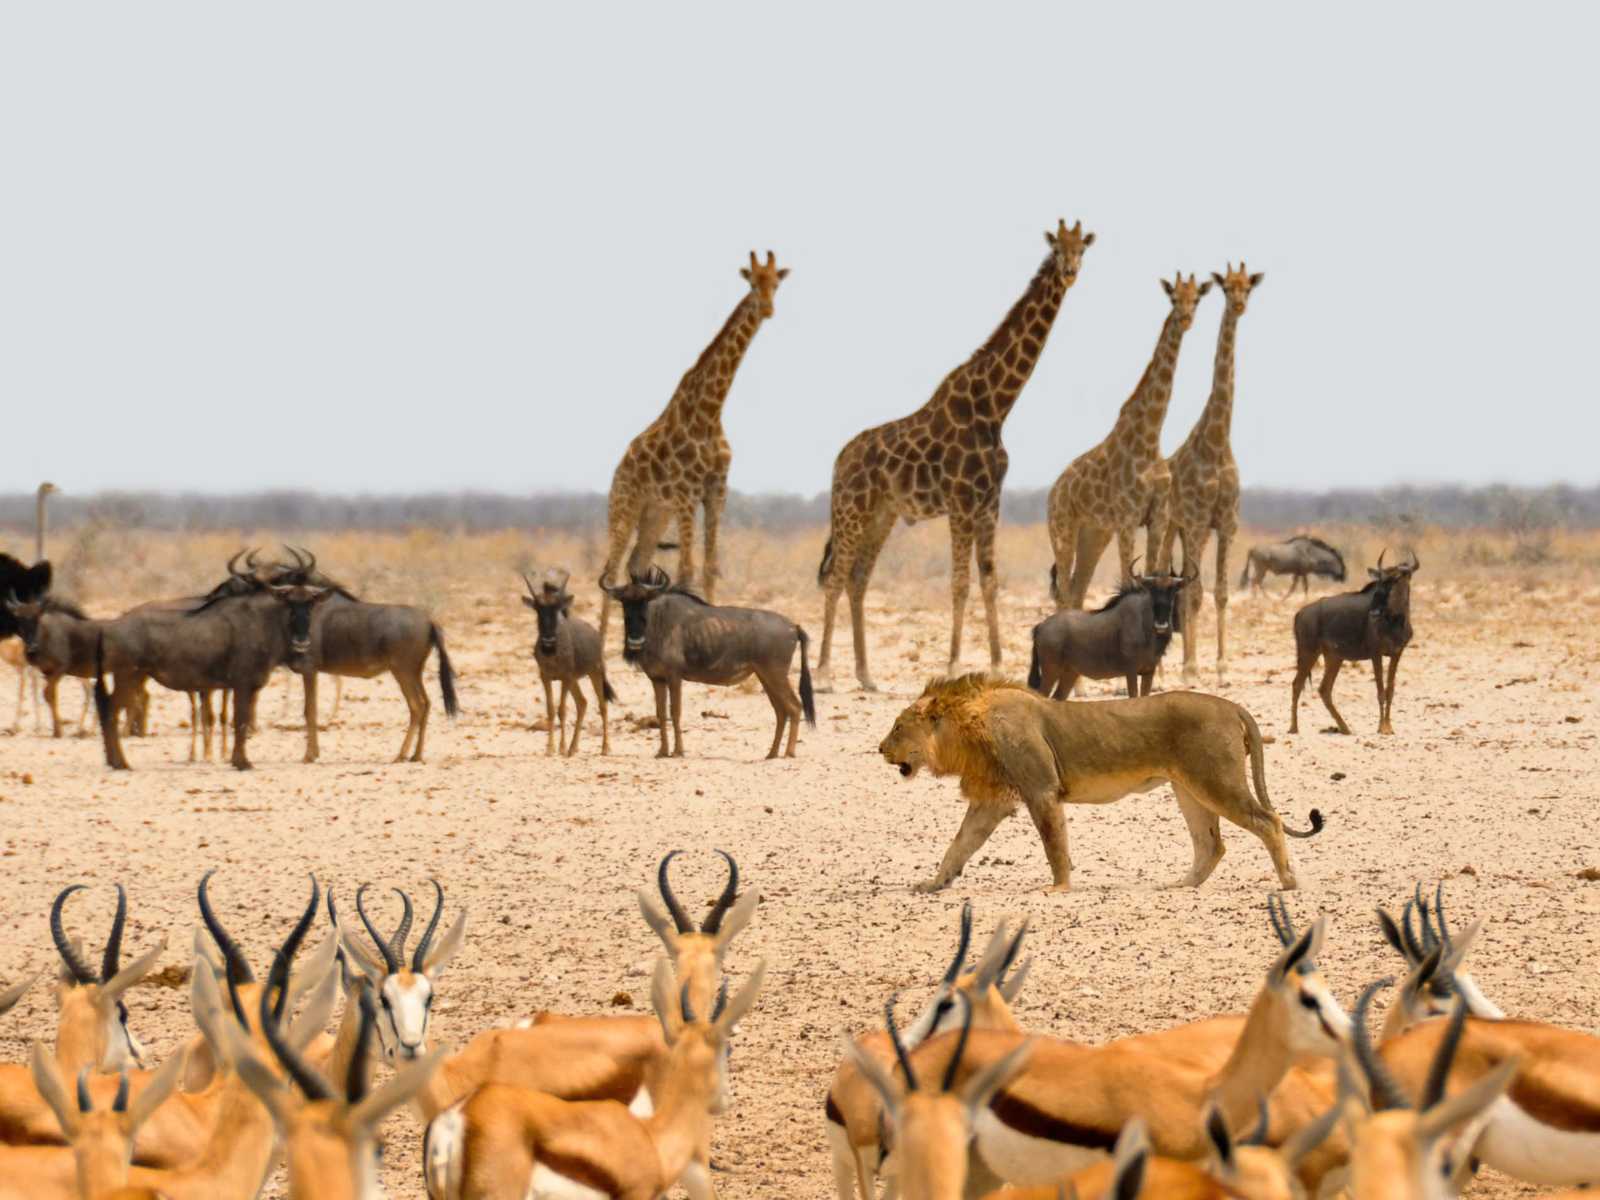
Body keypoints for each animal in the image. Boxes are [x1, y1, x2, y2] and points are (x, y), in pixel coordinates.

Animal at [598, 251, 787, 648]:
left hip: (655, 514)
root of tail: (618, 469)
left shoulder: (716, 490)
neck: (710, 410)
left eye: (776, 283)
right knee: (610, 568)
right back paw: (602, 643)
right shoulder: (687, 493)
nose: (767, 308)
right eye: (752, 283)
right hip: (624, 506)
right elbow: (687, 569)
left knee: (636, 564)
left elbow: (710, 567)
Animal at [815, 219, 1094, 692]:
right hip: (851, 510)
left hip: (881, 515)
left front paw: (998, 665)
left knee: (858, 580)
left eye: (1083, 249)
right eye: (1057, 249)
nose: (1071, 272)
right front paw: (952, 665)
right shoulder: (962, 503)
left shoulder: (988, 504)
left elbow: (990, 581)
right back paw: (824, 674)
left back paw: (866, 675)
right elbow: (961, 583)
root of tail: (839, 461)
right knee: (835, 578)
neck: (995, 407)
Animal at [1046, 273, 1212, 612]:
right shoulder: (1127, 517)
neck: (1150, 437)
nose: (1186, 318)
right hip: (1063, 529)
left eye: (1197, 298)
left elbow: (1152, 572)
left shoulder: (1157, 517)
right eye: (1174, 297)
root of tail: (1053, 493)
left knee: (1078, 589)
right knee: (1066, 591)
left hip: (1094, 533)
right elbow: (1128, 577)